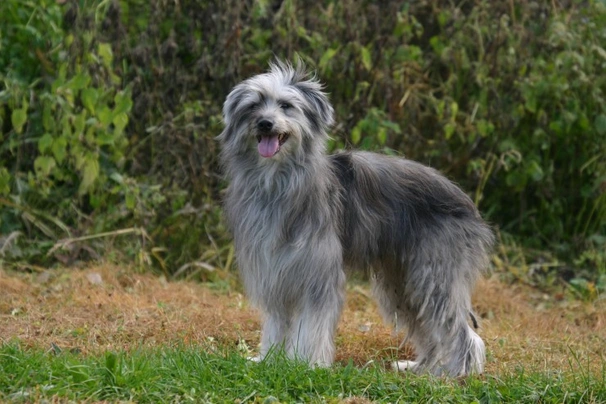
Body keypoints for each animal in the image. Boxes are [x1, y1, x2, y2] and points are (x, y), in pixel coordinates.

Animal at [217, 61, 494, 378]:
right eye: (253, 105)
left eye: (286, 105)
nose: (265, 123)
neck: (277, 182)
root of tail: (466, 201)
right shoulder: (275, 270)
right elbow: (276, 323)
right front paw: (269, 359)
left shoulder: (317, 274)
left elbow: (311, 326)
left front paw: (304, 364)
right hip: (402, 280)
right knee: (427, 325)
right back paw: (420, 367)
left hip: (436, 273)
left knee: (459, 330)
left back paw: (453, 373)